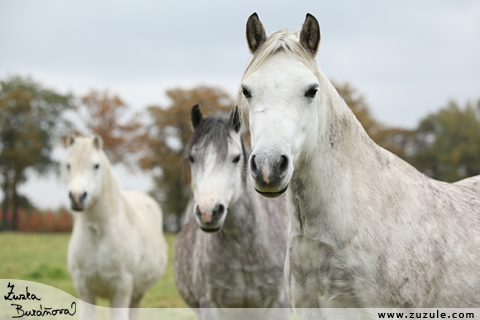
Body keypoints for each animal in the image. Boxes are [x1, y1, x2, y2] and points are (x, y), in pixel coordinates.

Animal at [62, 134, 167, 320]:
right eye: (68, 165)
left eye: (96, 165)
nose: (77, 197)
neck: (98, 234)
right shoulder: (84, 291)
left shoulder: (121, 290)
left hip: (136, 295)